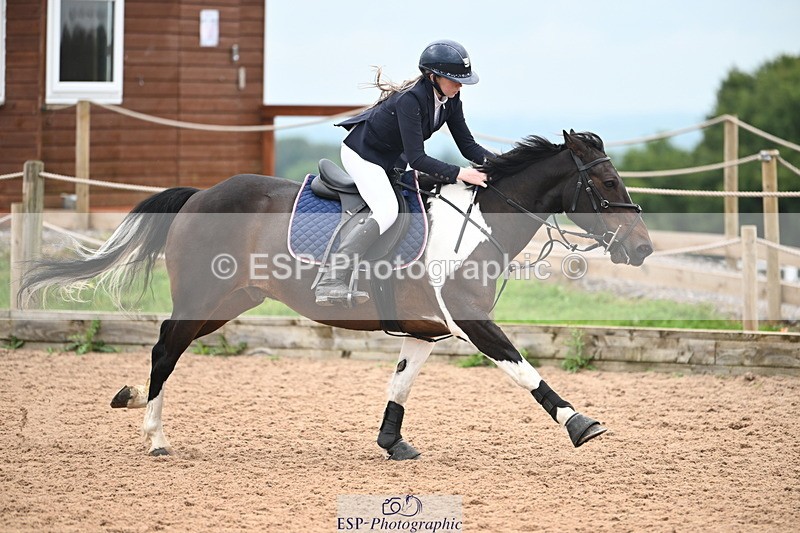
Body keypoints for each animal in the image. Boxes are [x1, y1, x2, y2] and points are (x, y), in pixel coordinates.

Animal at [20, 130, 653, 460]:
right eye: (606, 183)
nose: (643, 248)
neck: (478, 223)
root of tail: (202, 193)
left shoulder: (427, 329)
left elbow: (401, 384)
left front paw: (392, 443)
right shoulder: (471, 321)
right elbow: (524, 372)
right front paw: (579, 423)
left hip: (231, 302)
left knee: (168, 345)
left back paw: (130, 400)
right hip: (204, 297)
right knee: (164, 349)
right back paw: (153, 435)